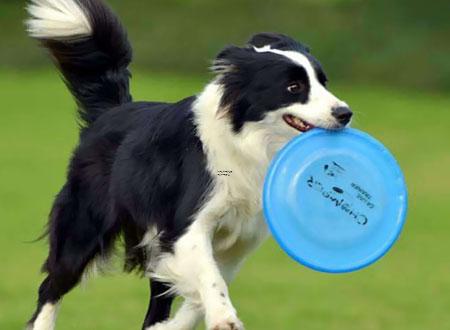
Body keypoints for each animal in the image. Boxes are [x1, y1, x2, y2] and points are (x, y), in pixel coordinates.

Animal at [26, 1, 354, 328]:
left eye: (323, 83)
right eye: (293, 87)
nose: (345, 113)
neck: (248, 140)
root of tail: (111, 112)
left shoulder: (239, 240)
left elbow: (203, 287)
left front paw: (174, 326)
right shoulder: (186, 225)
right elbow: (210, 277)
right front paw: (224, 319)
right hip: (84, 227)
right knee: (51, 286)